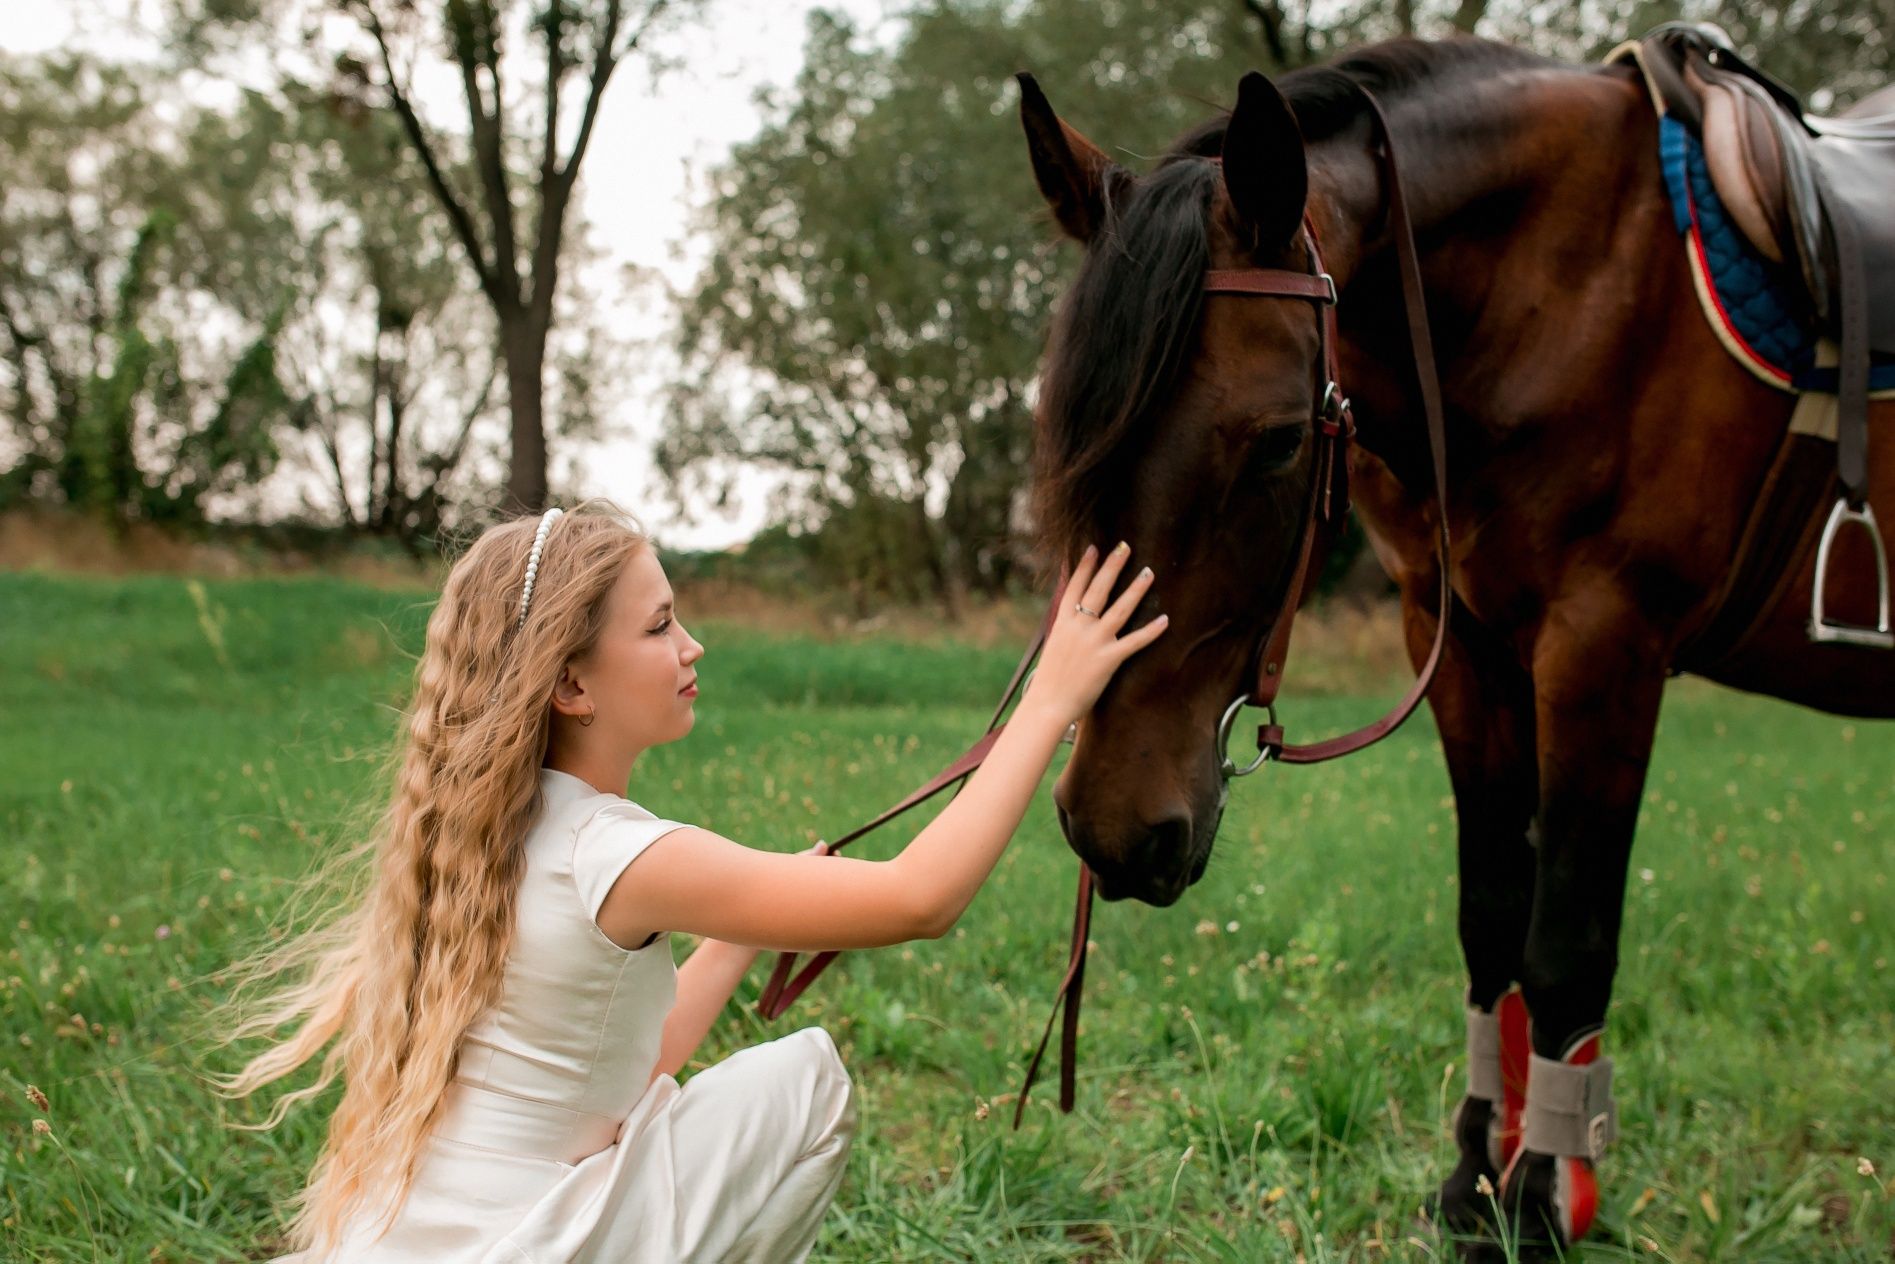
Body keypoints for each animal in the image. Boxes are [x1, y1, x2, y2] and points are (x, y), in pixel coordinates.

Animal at [1030, 34, 1887, 1258]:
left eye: (1279, 442)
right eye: (1071, 434)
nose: (1110, 827)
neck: (1560, 286)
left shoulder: (1600, 648)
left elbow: (1564, 940)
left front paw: (1539, 1197)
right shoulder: (1461, 647)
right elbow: (1490, 922)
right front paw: (1473, 1177)